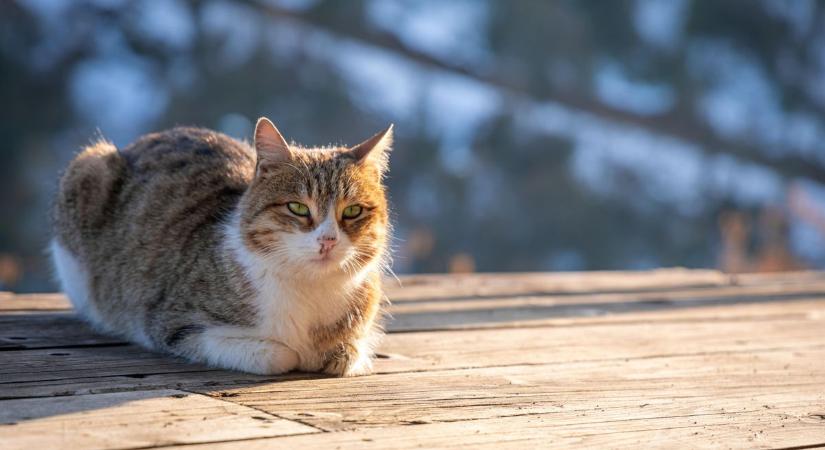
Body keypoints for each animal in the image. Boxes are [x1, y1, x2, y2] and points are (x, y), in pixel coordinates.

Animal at [50, 117, 392, 376]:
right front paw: (292, 353)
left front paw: (333, 352)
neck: (309, 288)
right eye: (297, 208)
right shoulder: (174, 324)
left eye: (352, 211)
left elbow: (347, 352)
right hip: (88, 169)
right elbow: (277, 355)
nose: (328, 240)